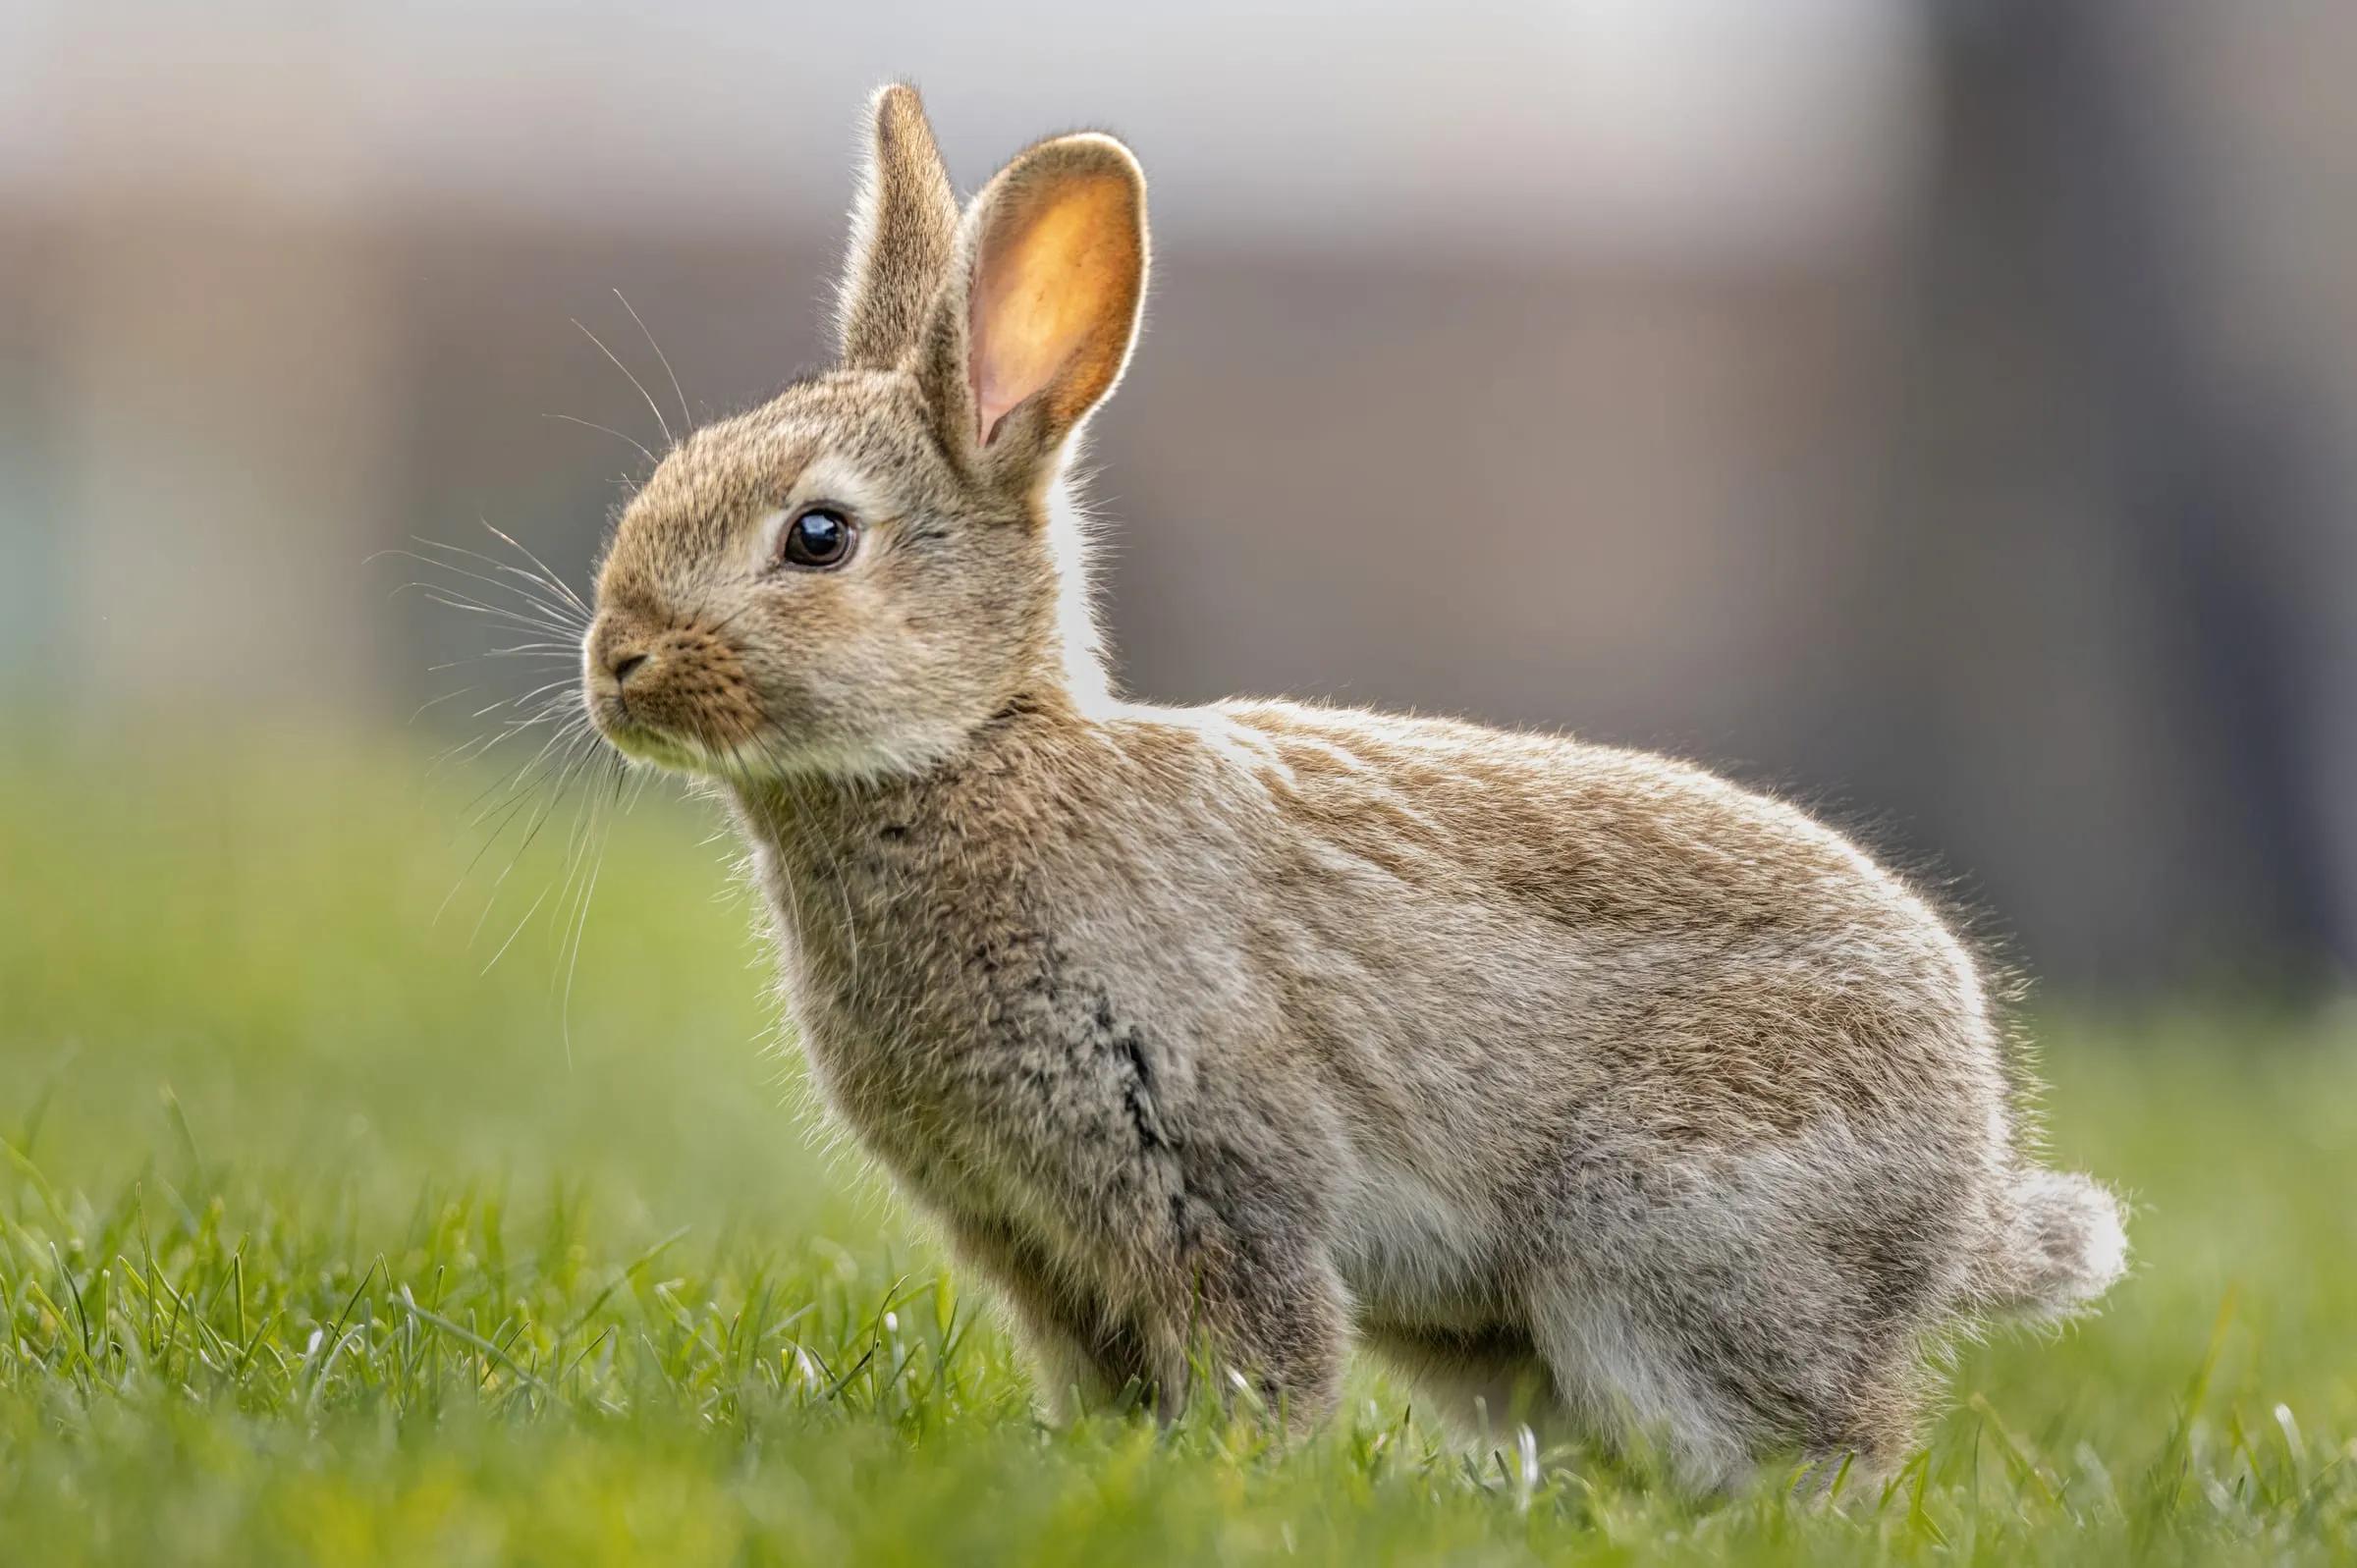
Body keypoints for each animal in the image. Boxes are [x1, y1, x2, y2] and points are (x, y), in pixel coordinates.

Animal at [578, 84, 2127, 1487]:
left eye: (818, 537)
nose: (616, 660)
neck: (977, 748)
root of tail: (1971, 1186)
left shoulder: (1208, 1163)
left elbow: (1267, 1345)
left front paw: (1239, 1475)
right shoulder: (1031, 1236)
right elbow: (1108, 1372)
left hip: (1668, 1243)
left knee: (1815, 1441)